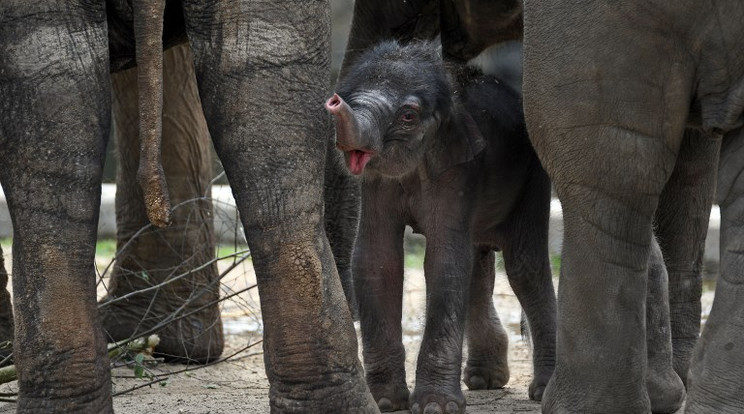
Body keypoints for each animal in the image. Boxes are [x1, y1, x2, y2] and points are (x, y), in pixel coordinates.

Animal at [328, 41, 556, 414]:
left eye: (408, 116)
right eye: (346, 96)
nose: (333, 102)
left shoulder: (460, 170)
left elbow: (443, 260)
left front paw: (435, 407)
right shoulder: (376, 185)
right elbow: (376, 259)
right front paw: (385, 401)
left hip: (533, 176)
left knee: (524, 266)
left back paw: (542, 390)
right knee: (478, 265)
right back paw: (484, 380)